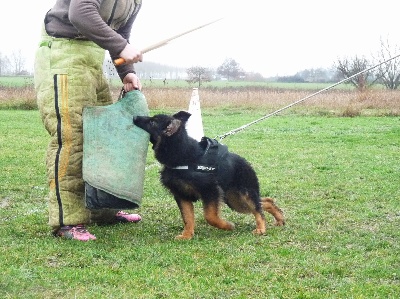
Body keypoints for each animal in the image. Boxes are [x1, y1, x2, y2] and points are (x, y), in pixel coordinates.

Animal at [134, 111, 284, 240]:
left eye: (152, 122)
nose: (135, 117)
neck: (183, 155)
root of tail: (246, 163)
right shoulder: (182, 195)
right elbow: (188, 218)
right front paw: (187, 235)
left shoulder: (210, 191)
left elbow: (210, 216)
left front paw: (227, 226)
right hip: (235, 200)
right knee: (264, 202)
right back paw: (279, 218)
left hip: (242, 196)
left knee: (258, 209)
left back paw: (261, 228)